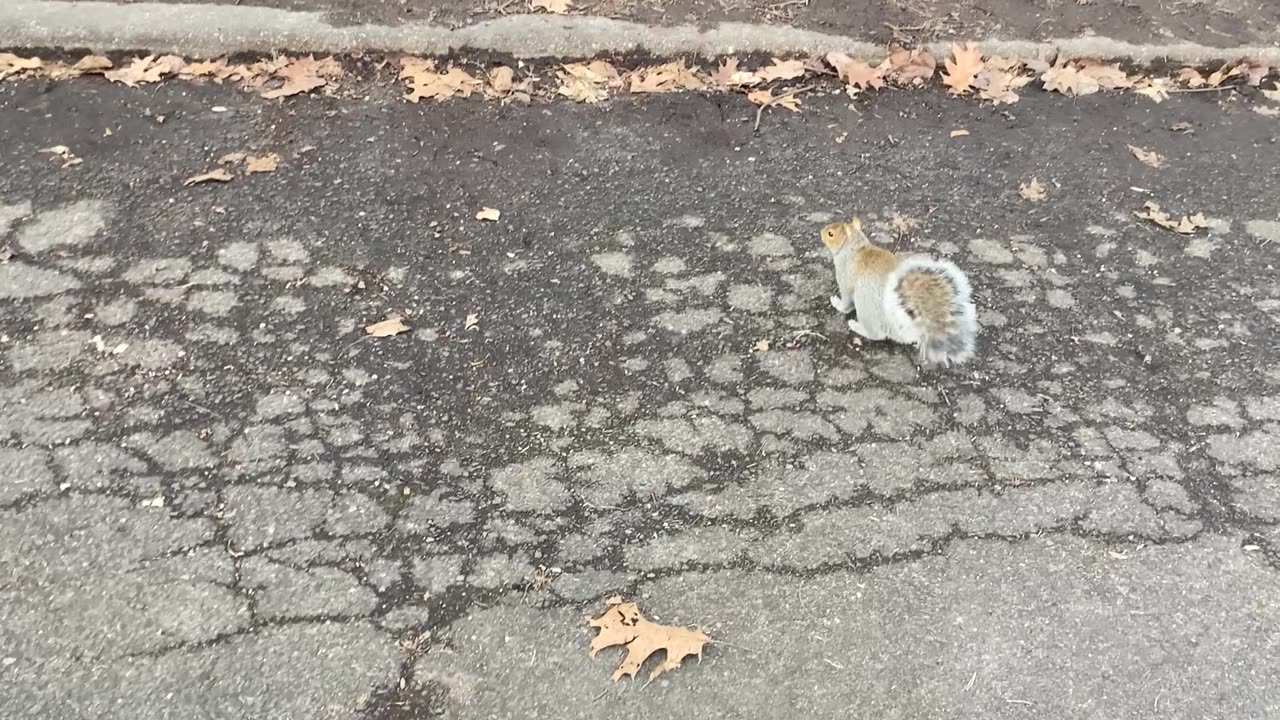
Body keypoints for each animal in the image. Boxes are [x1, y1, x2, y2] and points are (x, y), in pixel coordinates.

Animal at [820, 217, 977, 366]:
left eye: (830, 234)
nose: (821, 232)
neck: (855, 247)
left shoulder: (845, 277)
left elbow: (846, 303)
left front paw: (836, 303)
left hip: (865, 306)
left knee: (876, 334)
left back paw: (856, 326)